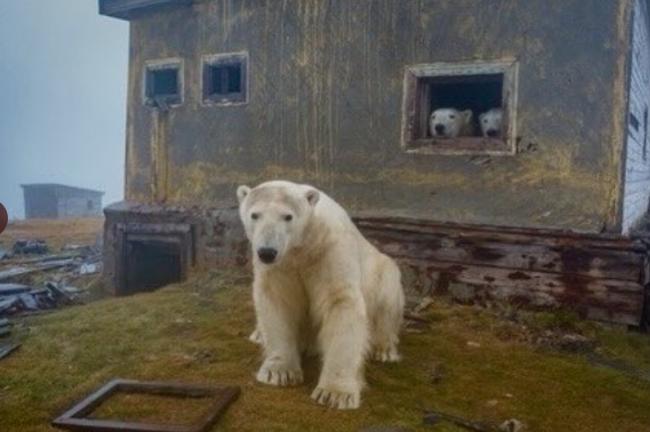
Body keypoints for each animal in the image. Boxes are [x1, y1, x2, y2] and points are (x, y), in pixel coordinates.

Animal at [237, 180, 405, 410]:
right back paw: (258, 334)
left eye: (288, 216)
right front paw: (278, 373)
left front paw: (335, 393)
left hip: (381, 271)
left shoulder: (329, 250)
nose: (267, 252)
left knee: (387, 298)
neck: (302, 246)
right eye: (255, 215)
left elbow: (340, 303)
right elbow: (277, 300)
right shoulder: (281, 265)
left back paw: (384, 349)